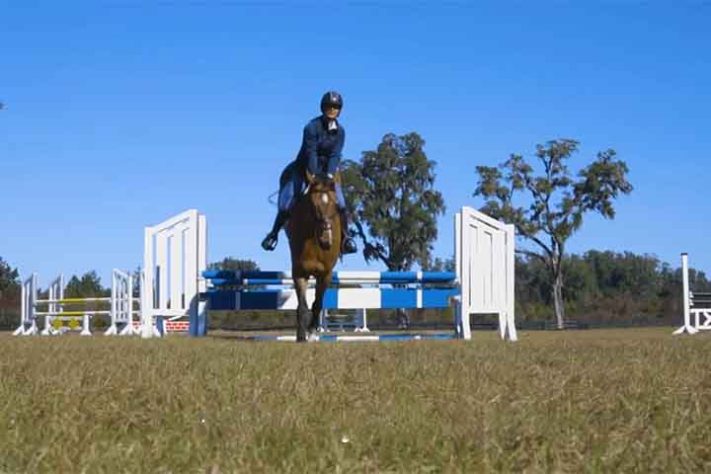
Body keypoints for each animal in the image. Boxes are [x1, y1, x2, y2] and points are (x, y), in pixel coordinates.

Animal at [285, 173, 343, 342]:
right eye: (313, 204)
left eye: (336, 205)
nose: (326, 240)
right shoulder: (299, 273)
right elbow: (302, 307)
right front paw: (301, 336)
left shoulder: (325, 274)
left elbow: (317, 304)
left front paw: (312, 332)